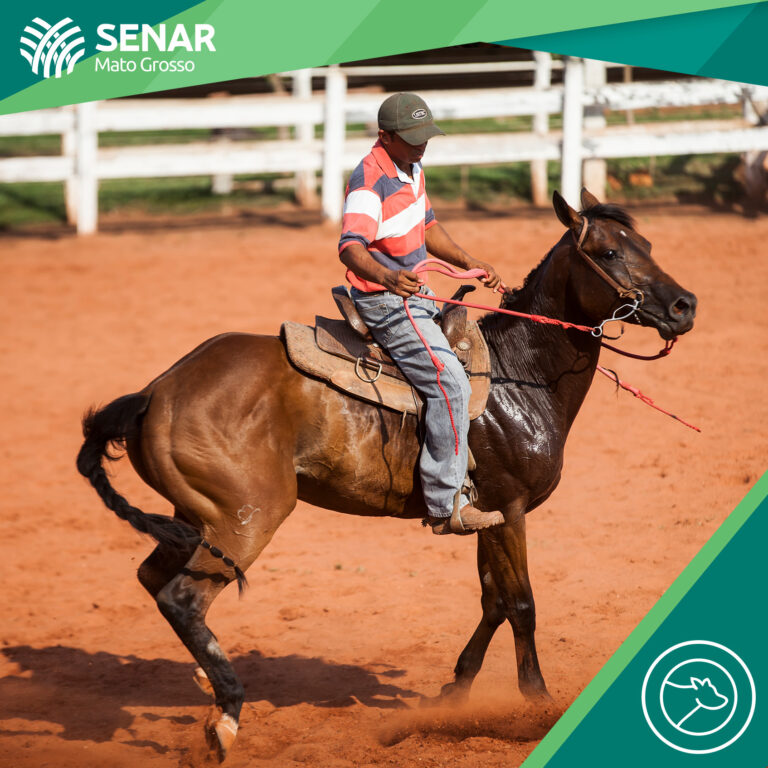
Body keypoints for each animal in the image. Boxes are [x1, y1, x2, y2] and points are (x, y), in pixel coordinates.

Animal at [76, 188, 696, 760]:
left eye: (647, 245)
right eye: (610, 252)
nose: (685, 305)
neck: (519, 374)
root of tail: (154, 393)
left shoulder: (482, 515)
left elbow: (492, 601)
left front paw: (453, 693)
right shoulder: (510, 509)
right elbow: (521, 604)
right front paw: (538, 704)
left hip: (193, 518)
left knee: (154, 580)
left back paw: (207, 681)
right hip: (247, 517)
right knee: (183, 598)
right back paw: (224, 717)